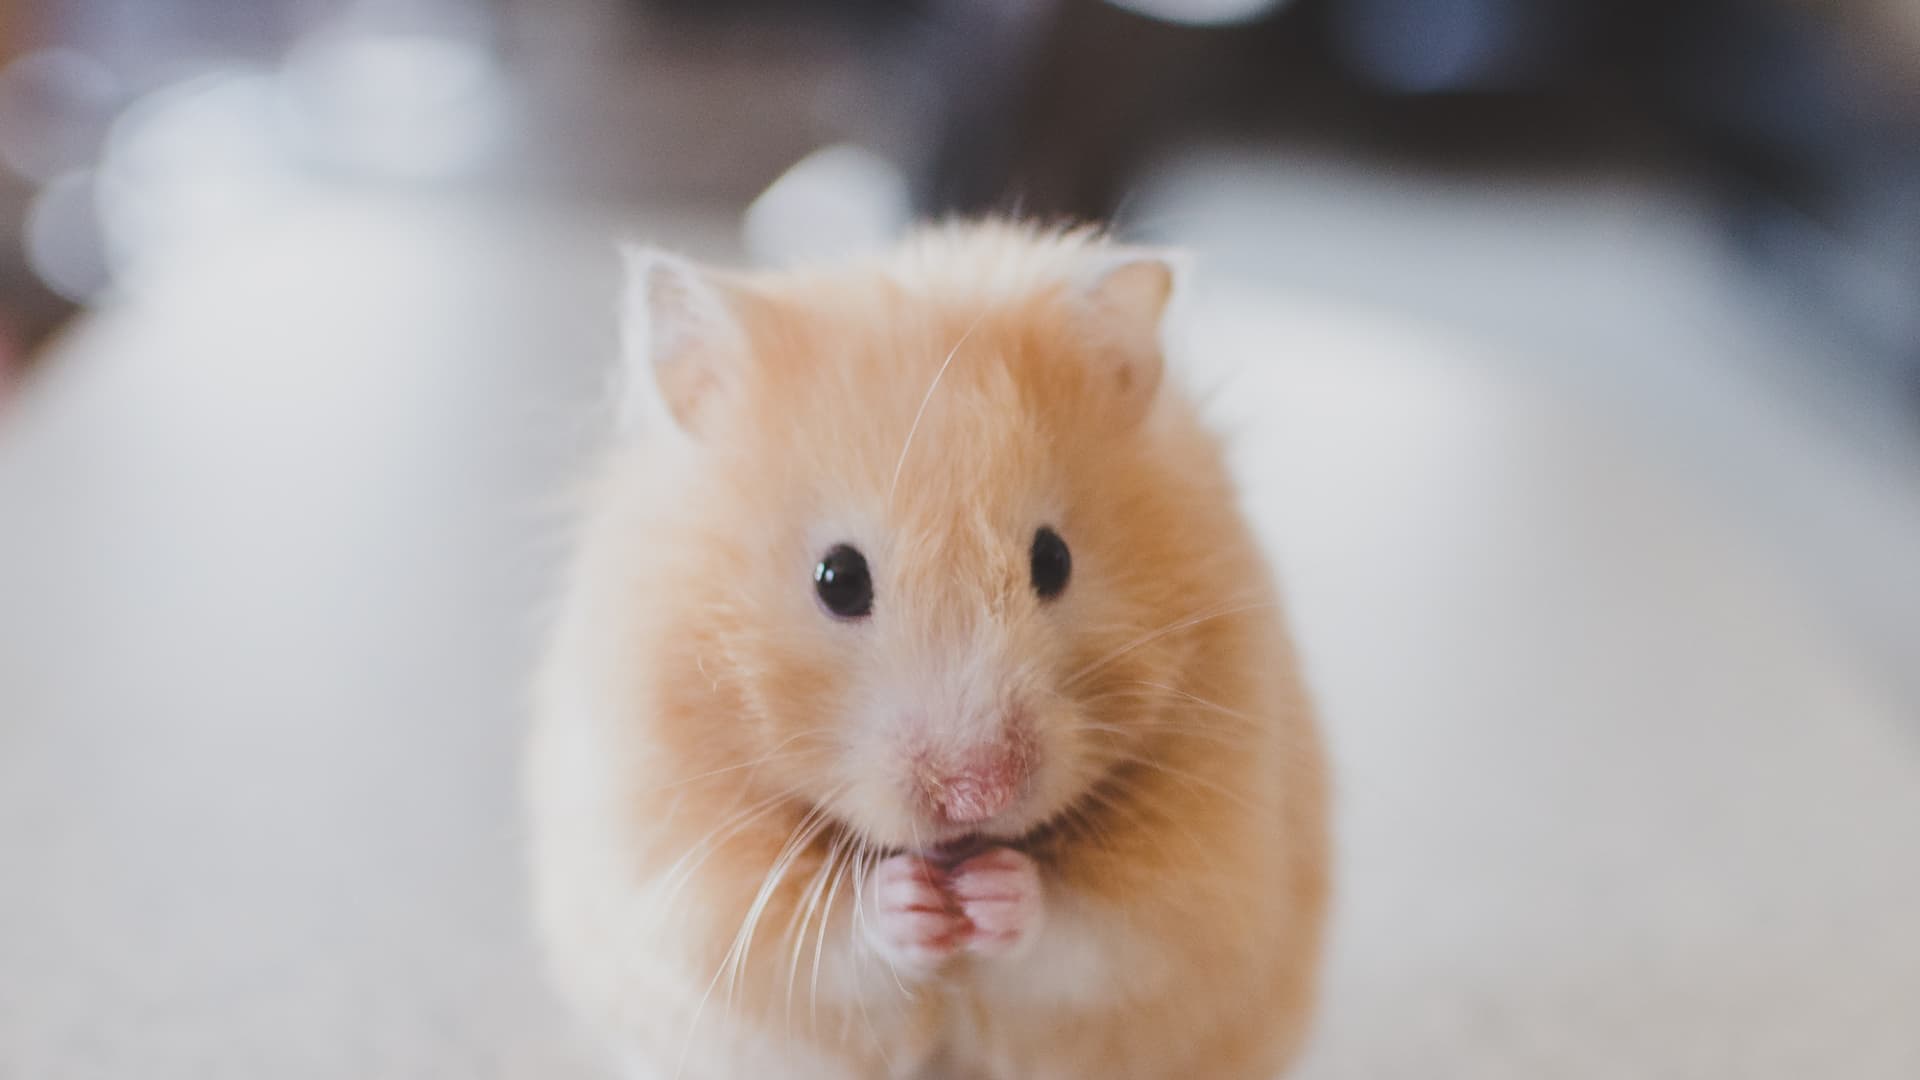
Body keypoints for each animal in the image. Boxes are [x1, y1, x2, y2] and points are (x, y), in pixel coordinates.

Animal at [527, 221, 1328, 1080]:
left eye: (1054, 561)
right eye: (838, 578)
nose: (979, 797)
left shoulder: (1202, 881)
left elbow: (1090, 934)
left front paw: (996, 892)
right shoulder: (688, 874)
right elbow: (825, 942)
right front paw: (911, 902)